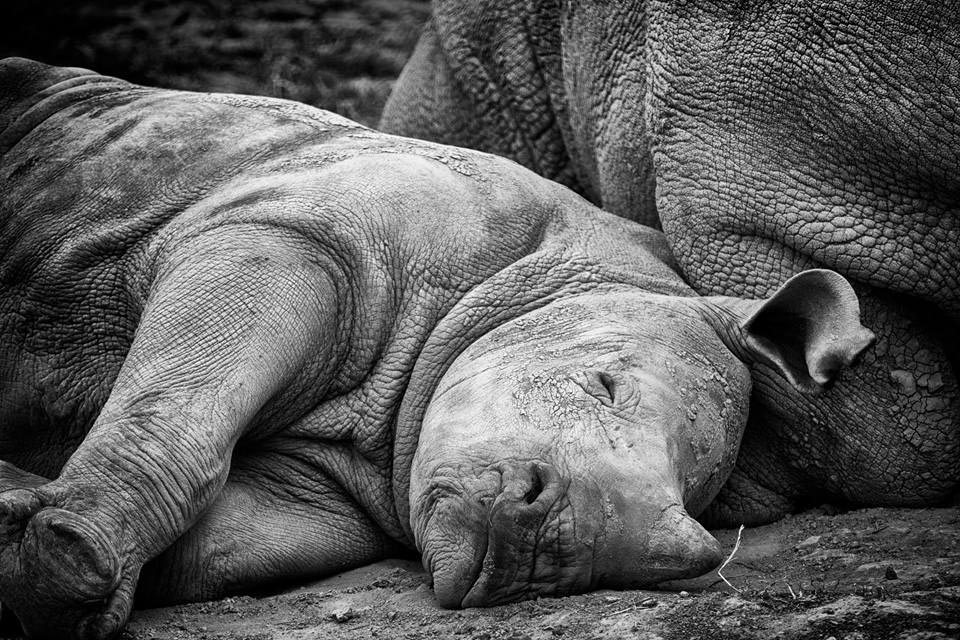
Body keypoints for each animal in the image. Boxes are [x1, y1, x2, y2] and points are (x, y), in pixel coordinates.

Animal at [0, 57, 872, 636]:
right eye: (603, 384)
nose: (559, 549)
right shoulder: (291, 236)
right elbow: (178, 414)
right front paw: (61, 559)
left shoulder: (323, 489)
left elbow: (214, 539)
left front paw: (34, 559)